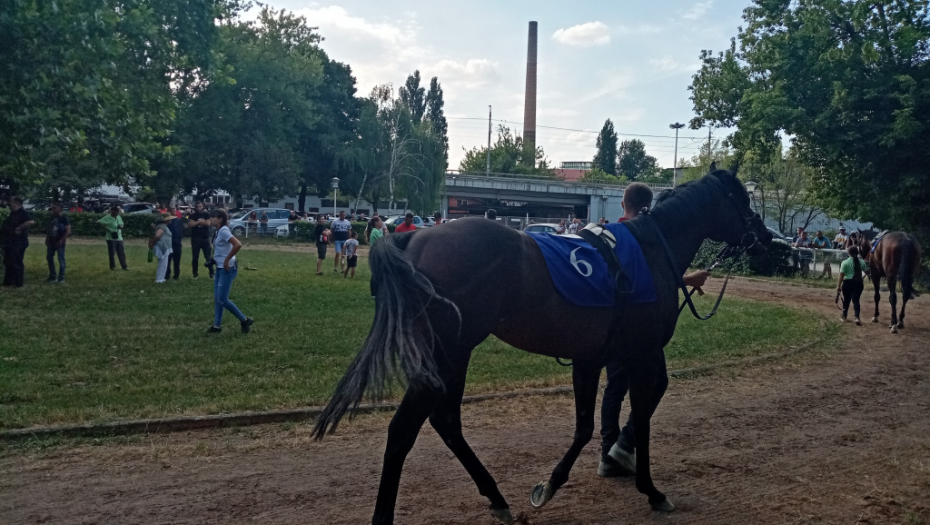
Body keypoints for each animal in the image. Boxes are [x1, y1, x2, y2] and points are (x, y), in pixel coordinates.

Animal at [313, 168, 772, 525]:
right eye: (743, 198)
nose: (767, 239)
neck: (649, 250)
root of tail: (412, 241)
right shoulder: (643, 355)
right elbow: (641, 415)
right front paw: (651, 489)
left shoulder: (592, 358)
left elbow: (586, 425)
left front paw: (550, 485)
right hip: (446, 353)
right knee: (403, 430)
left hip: (453, 355)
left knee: (446, 422)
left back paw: (497, 497)